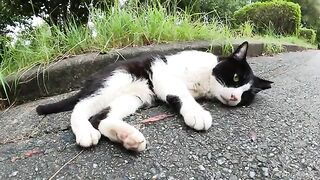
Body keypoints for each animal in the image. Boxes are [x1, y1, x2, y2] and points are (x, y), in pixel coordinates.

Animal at [37, 41, 272, 152]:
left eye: (246, 95)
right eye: (235, 78)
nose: (234, 97)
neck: (205, 81)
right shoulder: (162, 73)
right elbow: (181, 94)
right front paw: (197, 113)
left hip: (132, 98)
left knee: (100, 119)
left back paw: (128, 137)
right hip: (116, 80)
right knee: (80, 108)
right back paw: (85, 132)